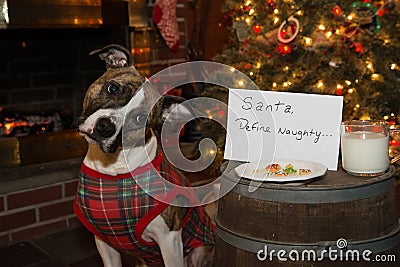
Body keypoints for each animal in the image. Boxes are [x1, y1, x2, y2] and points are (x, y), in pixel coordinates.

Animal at [73, 45, 214, 266]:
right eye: (113, 88)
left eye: (140, 118)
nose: (105, 127)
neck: (113, 167)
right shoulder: (104, 243)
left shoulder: (170, 240)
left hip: (199, 252)